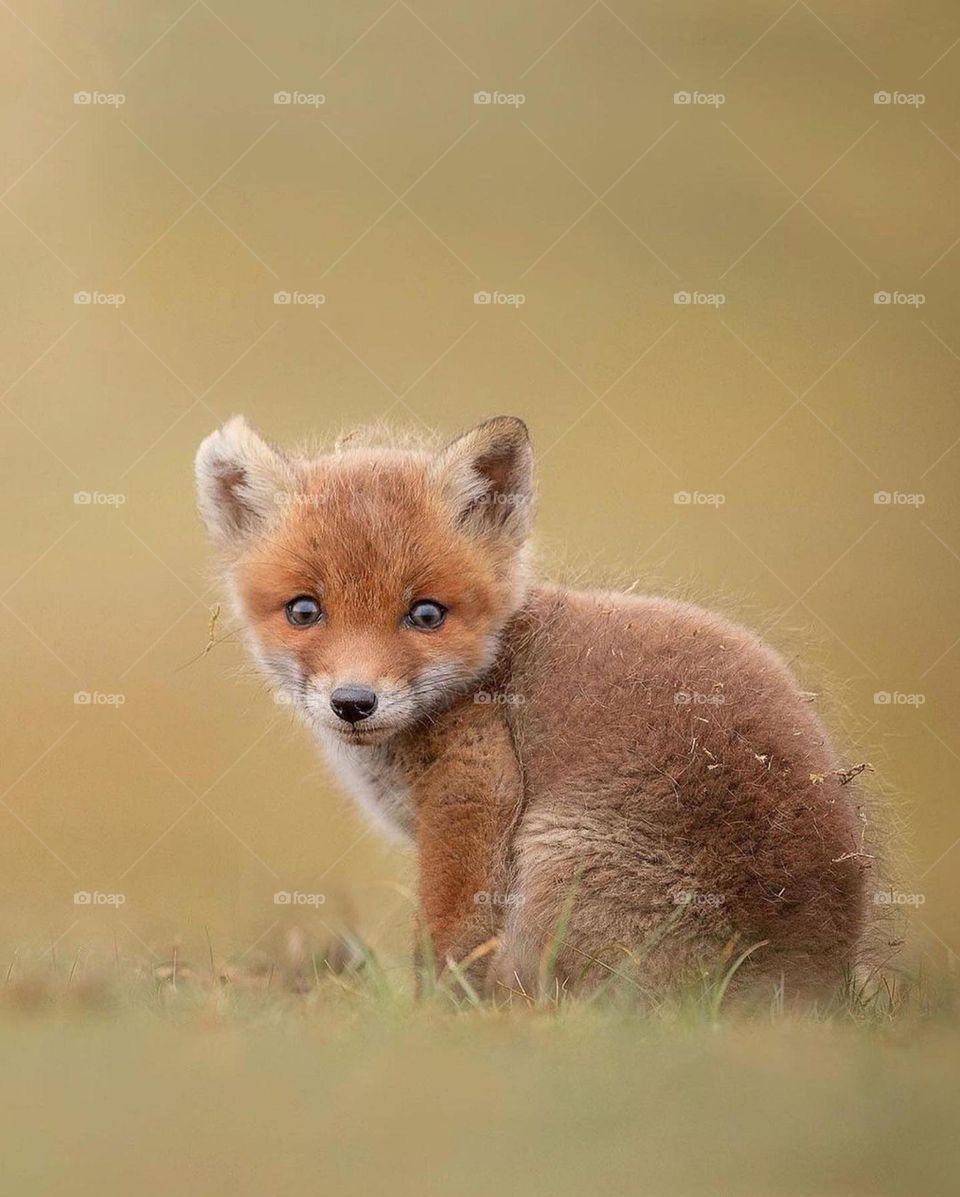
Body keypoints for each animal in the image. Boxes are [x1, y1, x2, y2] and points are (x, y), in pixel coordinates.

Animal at [195, 414, 870, 1002]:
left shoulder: (474, 794)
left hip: (556, 863)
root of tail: (809, 982)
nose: (354, 703)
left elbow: (448, 943)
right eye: (304, 610)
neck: (491, 672)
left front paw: (429, 1021)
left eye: (427, 614)